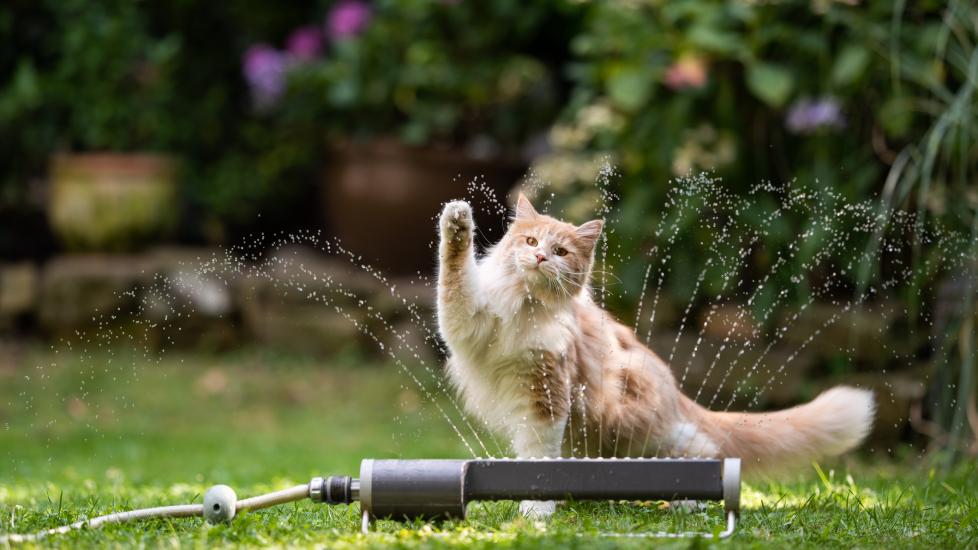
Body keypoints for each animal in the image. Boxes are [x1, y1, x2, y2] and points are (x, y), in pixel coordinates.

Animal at [436, 195, 876, 520]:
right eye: (530, 243)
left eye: (559, 251)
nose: (541, 258)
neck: (525, 306)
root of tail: (675, 392)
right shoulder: (467, 321)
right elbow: (453, 276)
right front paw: (456, 223)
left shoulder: (547, 394)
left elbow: (538, 458)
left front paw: (536, 510)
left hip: (638, 429)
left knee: (705, 449)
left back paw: (692, 499)